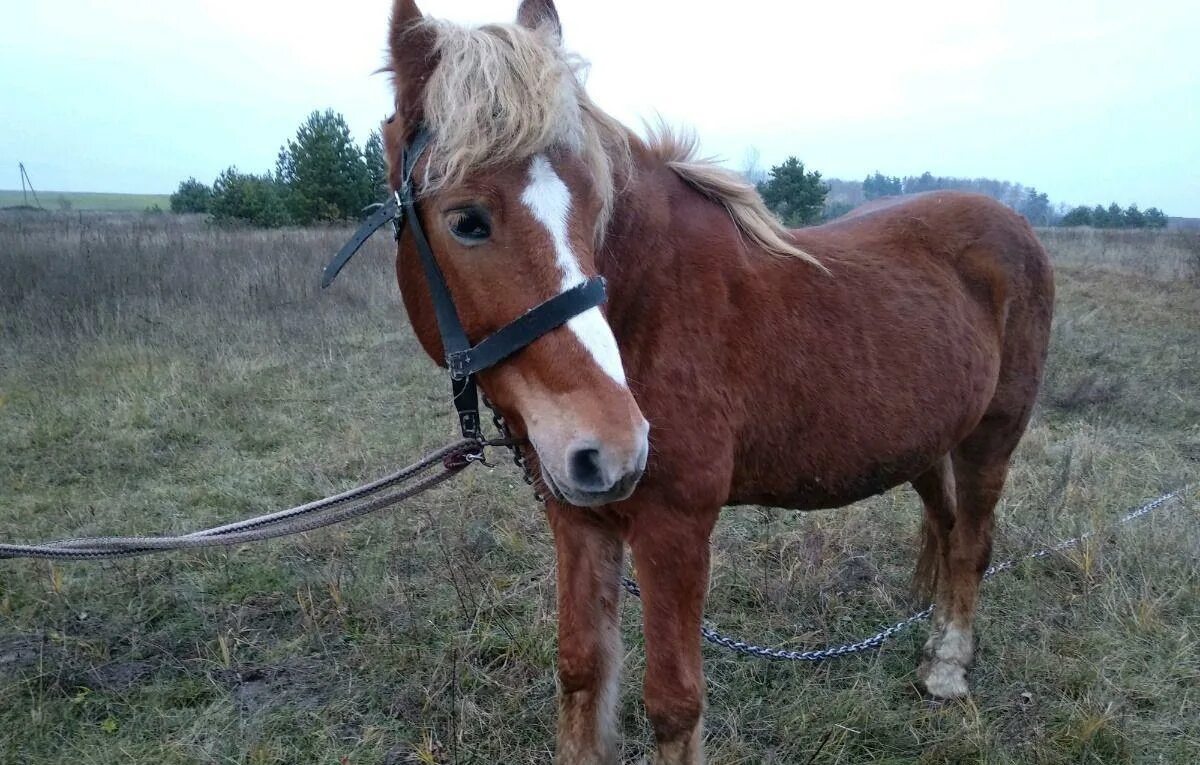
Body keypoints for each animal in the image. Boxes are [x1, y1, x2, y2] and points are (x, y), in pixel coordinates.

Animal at [376, 2, 1051, 762]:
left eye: (592, 204)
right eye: (466, 219)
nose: (614, 446)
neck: (646, 304)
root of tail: (1014, 223)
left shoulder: (675, 528)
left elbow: (673, 704)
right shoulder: (577, 518)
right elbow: (581, 670)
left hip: (993, 435)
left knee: (972, 540)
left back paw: (947, 665)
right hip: (927, 442)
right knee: (944, 520)